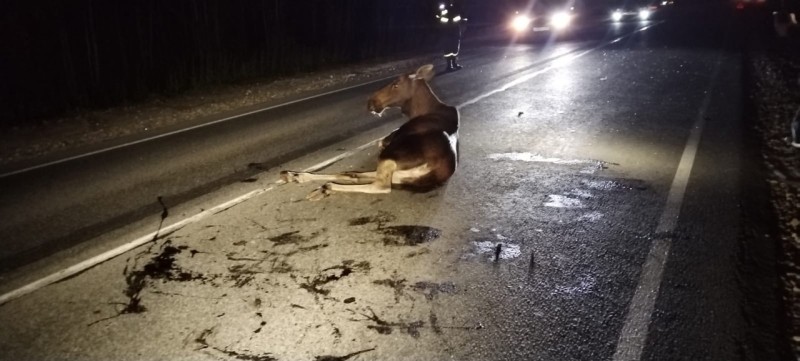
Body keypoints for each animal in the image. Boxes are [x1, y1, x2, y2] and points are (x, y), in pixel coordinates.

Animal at [282, 63, 460, 201]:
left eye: (396, 84)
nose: (370, 102)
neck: (421, 110)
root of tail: (435, 170)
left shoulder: (389, 144)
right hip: (400, 174)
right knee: (352, 174)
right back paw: (298, 177)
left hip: (390, 157)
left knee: (380, 186)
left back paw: (326, 187)